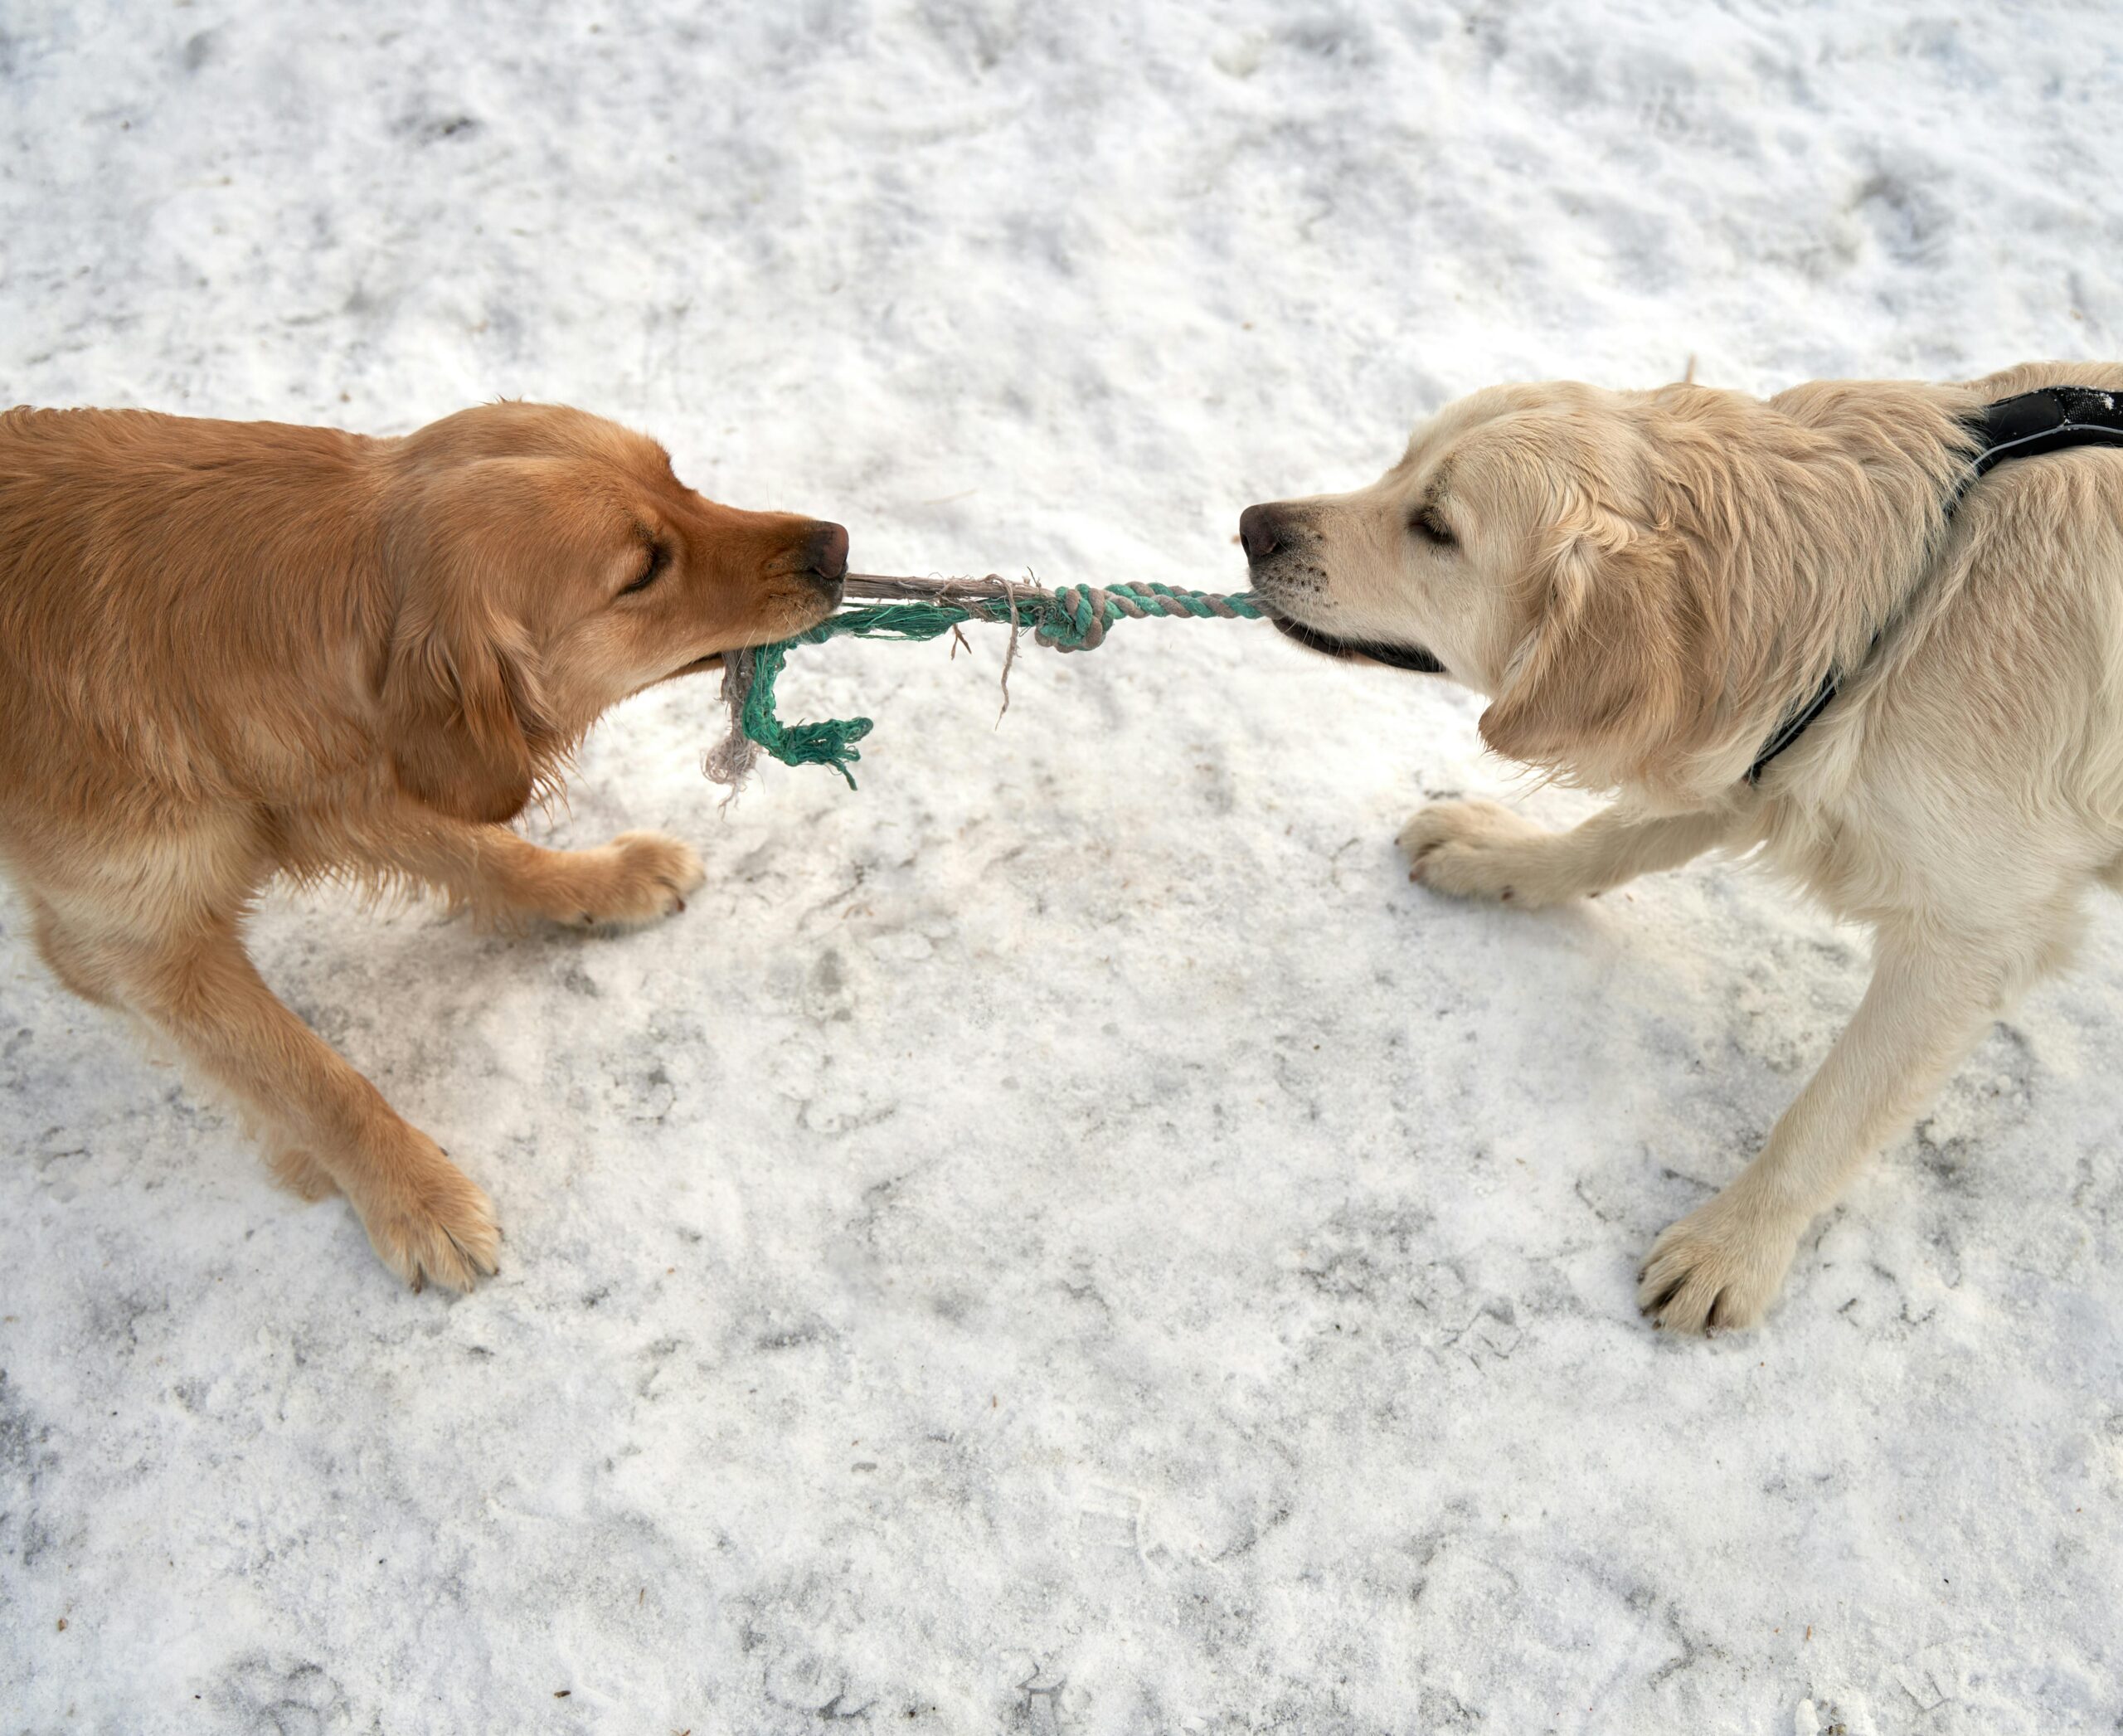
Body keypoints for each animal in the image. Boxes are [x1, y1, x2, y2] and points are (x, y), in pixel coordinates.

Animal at [1240, 362, 2123, 1324]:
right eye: (1401, 463)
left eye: (1437, 528)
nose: (1251, 527)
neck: (1893, 613)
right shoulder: (1756, 746)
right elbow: (1607, 839)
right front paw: (1499, 859)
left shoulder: (1971, 936)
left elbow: (1830, 1111)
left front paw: (1732, 1247)